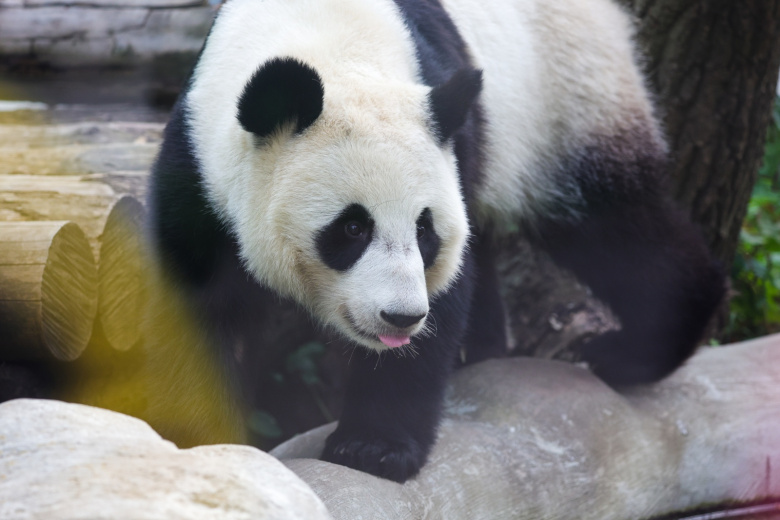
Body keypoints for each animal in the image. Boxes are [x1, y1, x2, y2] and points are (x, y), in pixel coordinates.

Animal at [148, 0, 725, 482]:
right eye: (353, 228)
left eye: (424, 231)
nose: (401, 317)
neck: (327, 45)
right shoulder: (199, 162)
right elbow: (189, 306)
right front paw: (197, 440)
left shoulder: (448, 137)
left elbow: (445, 298)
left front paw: (373, 449)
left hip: (566, 94)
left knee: (612, 226)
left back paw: (634, 351)